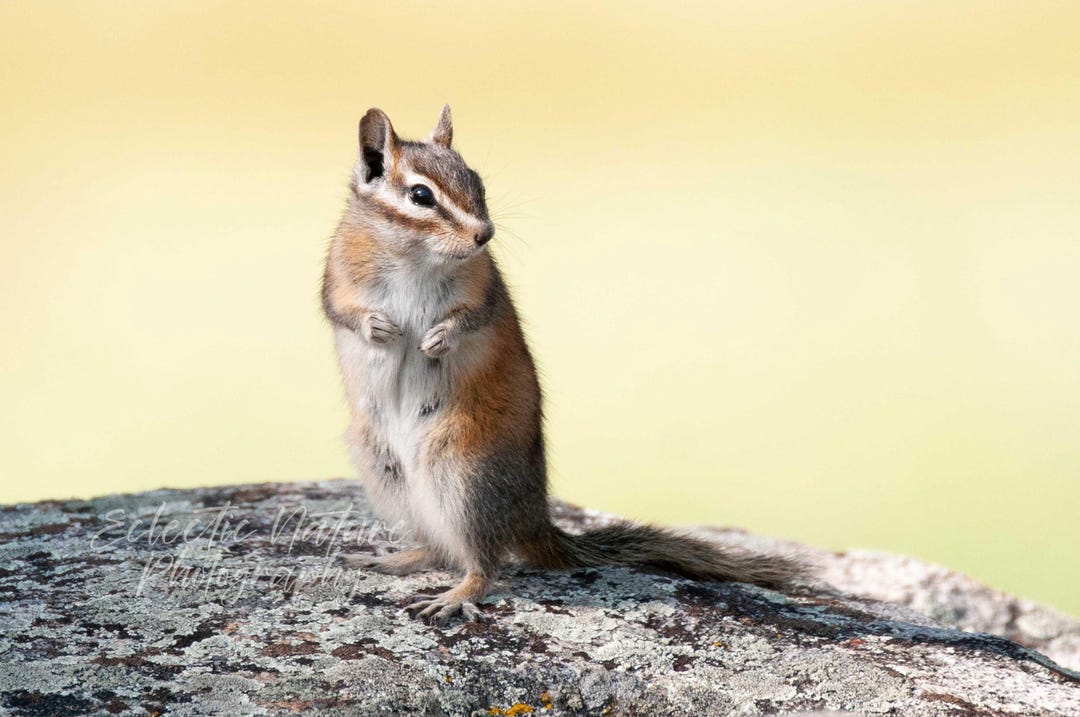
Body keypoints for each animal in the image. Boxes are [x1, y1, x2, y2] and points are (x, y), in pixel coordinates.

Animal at [322, 105, 805, 624]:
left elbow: (472, 317)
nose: (484, 235)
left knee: (482, 563)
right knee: (438, 547)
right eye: (420, 195)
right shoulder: (337, 277)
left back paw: (454, 595)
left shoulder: (484, 287)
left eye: (477, 181)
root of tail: (532, 518)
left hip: (463, 474)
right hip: (383, 468)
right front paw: (378, 328)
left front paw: (438, 338)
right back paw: (394, 559)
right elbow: (341, 310)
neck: (414, 257)